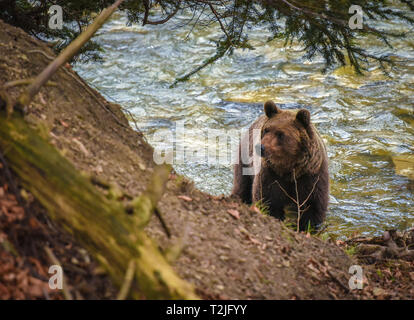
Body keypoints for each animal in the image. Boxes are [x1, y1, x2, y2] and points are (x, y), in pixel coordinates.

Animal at [231, 100, 328, 230]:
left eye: (281, 134)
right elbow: (268, 200)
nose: (260, 147)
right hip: (246, 160)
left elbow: (313, 207)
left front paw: (307, 226)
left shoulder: (311, 176)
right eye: (266, 130)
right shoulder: (271, 175)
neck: (290, 170)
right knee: (242, 186)